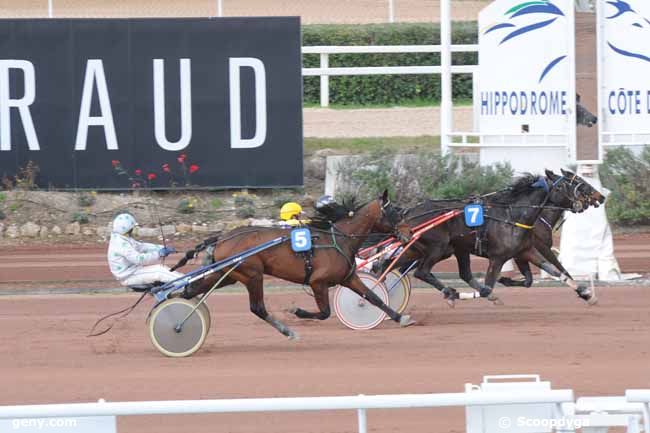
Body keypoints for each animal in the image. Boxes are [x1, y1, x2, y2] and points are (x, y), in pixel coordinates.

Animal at [180, 191, 412, 340]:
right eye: (396, 212)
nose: (409, 233)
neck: (339, 239)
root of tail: (221, 238)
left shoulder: (348, 278)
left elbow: (373, 297)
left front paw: (401, 317)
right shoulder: (318, 282)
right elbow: (324, 312)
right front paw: (297, 311)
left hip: (228, 274)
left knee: (191, 290)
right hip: (252, 274)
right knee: (257, 308)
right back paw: (287, 331)